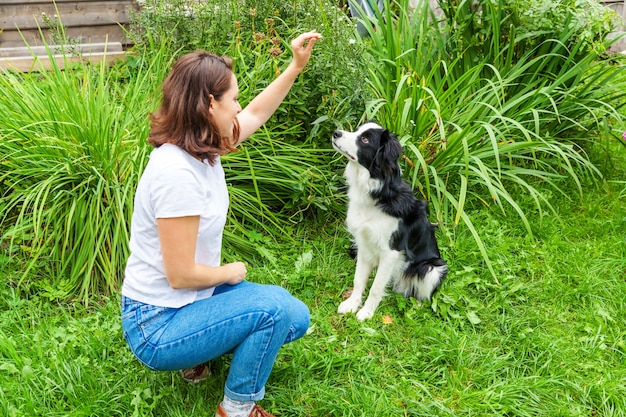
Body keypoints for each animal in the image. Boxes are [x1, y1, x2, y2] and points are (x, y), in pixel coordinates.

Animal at [330, 122, 446, 320]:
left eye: (365, 139)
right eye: (357, 130)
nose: (336, 132)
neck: (377, 194)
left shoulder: (390, 253)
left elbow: (376, 288)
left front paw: (366, 313)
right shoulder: (364, 244)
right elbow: (359, 279)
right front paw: (352, 304)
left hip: (433, 269)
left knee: (420, 293)